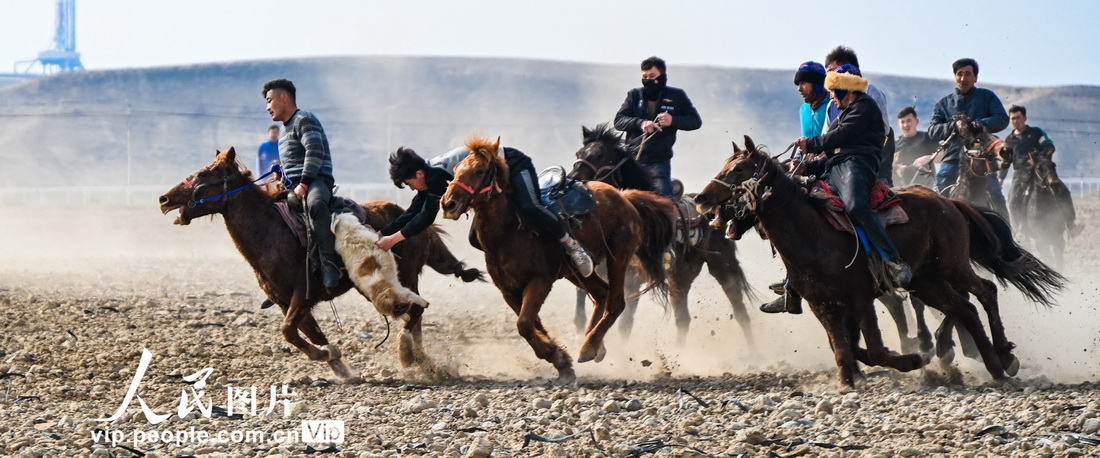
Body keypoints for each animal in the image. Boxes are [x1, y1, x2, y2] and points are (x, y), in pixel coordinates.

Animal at [158, 147, 484, 380]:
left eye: (203, 173)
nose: (164, 199)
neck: (272, 232)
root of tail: (411, 216)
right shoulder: (286, 301)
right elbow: (309, 333)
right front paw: (340, 365)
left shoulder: (303, 295)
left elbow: (288, 331)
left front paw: (329, 356)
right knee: (415, 315)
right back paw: (421, 360)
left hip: (403, 277)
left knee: (414, 311)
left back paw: (407, 354)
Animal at [439, 135, 676, 383]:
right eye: (455, 169)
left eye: (480, 171)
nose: (448, 203)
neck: (510, 232)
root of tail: (624, 196)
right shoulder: (509, 290)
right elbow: (533, 324)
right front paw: (561, 360)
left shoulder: (540, 281)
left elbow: (524, 324)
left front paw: (558, 357)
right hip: (577, 272)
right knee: (602, 294)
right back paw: (595, 345)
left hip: (618, 255)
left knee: (616, 303)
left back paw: (589, 347)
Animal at [568, 123, 754, 347]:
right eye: (579, 153)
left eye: (600, 154)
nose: (572, 180)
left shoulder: (633, 277)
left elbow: (624, 321)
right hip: (682, 276)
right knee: (685, 317)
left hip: (721, 266)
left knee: (737, 312)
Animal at [694, 136, 1064, 388]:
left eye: (738, 168)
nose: (701, 198)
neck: (811, 234)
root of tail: (949, 203)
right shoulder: (822, 304)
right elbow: (844, 347)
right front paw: (848, 382)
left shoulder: (860, 298)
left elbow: (872, 348)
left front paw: (913, 359)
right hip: (926, 282)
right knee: (964, 308)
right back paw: (993, 364)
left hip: (952, 267)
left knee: (985, 291)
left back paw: (1002, 355)